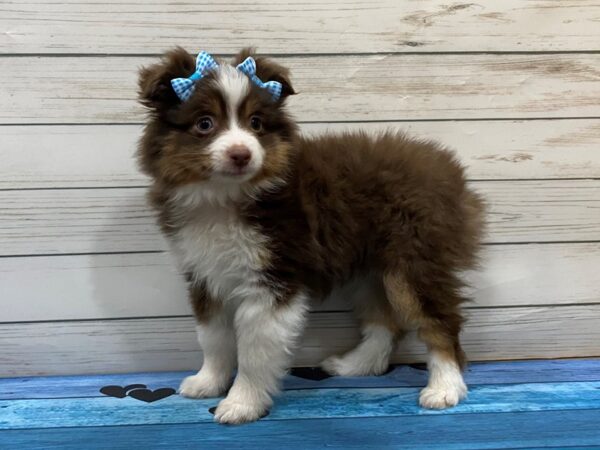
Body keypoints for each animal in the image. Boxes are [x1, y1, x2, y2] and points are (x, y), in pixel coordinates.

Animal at [136, 47, 482, 424]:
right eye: (204, 124)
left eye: (256, 123)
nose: (242, 154)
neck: (223, 198)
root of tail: (448, 170)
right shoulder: (204, 274)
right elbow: (212, 336)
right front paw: (208, 382)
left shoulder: (273, 278)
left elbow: (254, 349)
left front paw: (242, 403)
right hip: (371, 269)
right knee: (384, 321)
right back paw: (355, 365)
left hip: (414, 261)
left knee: (440, 322)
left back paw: (445, 388)